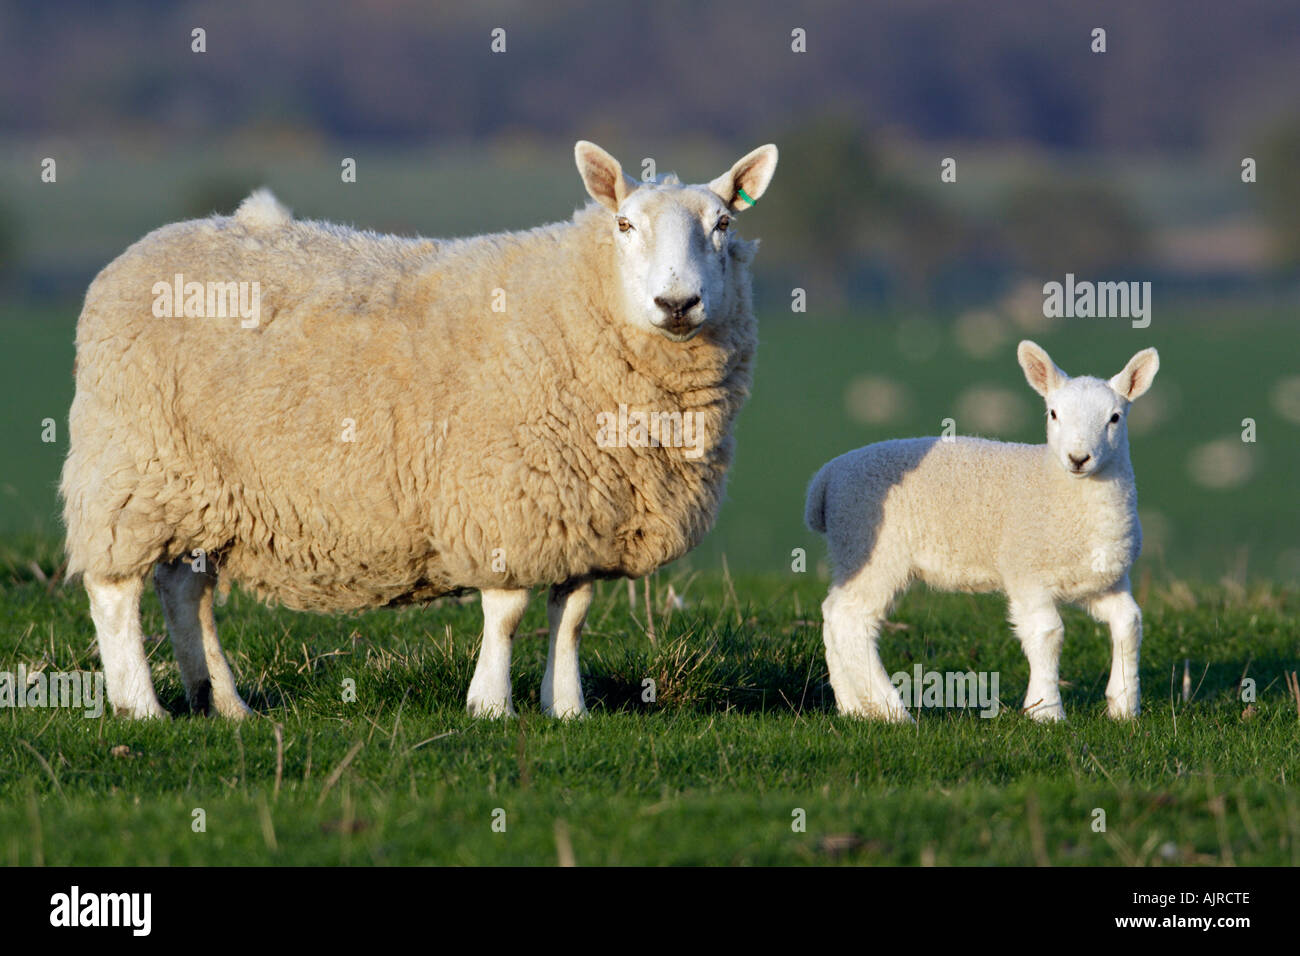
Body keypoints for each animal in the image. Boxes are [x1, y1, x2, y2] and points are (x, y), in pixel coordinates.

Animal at [60, 140, 778, 720]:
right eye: (625, 224)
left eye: (723, 224)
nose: (677, 304)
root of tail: (141, 250)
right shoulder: (506, 495)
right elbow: (508, 613)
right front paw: (490, 705)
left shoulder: (582, 511)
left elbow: (571, 614)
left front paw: (566, 708)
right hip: (134, 463)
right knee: (115, 590)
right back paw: (141, 706)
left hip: (204, 487)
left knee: (187, 591)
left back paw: (224, 703)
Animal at [805, 341, 1160, 722]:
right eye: (1053, 413)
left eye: (1115, 417)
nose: (1079, 458)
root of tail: (827, 477)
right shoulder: (1026, 573)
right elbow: (1048, 633)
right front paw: (1046, 710)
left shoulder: (1104, 582)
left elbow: (1130, 623)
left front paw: (1124, 706)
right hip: (872, 549)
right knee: (851, 620)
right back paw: (894, 712)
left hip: (851, 550)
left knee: (832, 614)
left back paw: (853, 707)